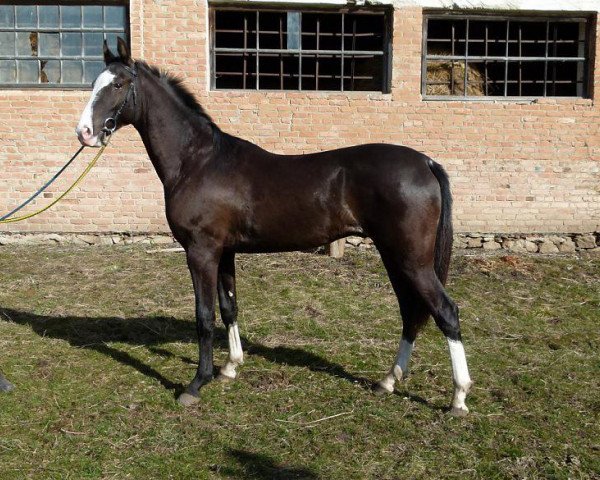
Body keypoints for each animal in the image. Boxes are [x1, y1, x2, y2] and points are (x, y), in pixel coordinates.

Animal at [72, 39, 472, 416]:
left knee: (445, 312)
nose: (85, 132)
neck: (198, 161)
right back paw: (388, 381)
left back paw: (458, 398)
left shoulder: (201, 252)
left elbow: (204, 316)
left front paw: (196, 384)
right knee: (410, 311)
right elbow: (229, 307)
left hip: (412, 260)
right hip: (394, 256)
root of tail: (426, 162)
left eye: (118, 84)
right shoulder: (224, 252)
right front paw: (230, 368)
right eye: (94, 83)